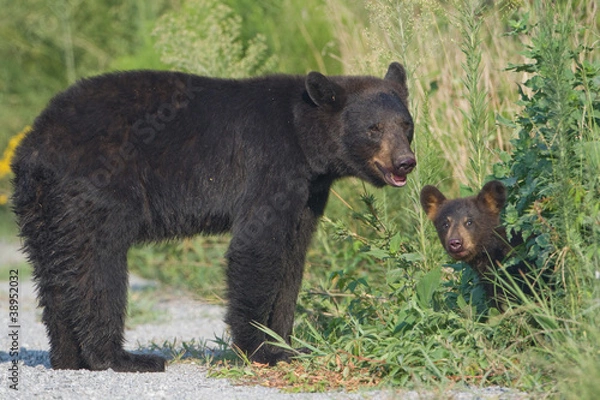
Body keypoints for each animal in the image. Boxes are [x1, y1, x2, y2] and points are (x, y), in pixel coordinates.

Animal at [11, 62, 414, 372]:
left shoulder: (308, 194)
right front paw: (260, 349)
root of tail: (34, 144)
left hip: (43, 208)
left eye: (406, 125)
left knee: (55, 273)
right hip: (98, 188)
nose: (405, 162)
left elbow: (293, 259)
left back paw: (67, 357)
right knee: (98, 267)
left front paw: (285, 345)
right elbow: (256, 247)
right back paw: (121, 358)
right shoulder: (269, 164)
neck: (303, 137)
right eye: (374, 128)